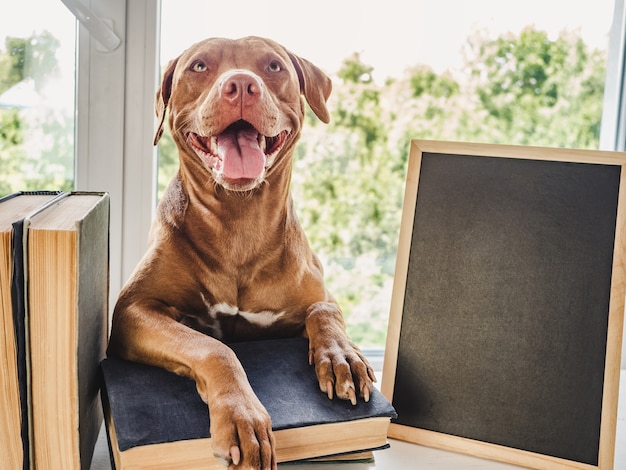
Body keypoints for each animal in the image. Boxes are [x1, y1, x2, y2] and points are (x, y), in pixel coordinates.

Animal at [107, 37, 372, 470]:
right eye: (199, 66)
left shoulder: (320, 294)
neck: (238, 221)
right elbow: (215, 348)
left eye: (274, 66)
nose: (242, 86)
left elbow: (324, 310)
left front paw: (342, 356)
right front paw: (242, 417)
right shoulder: (134, 309)